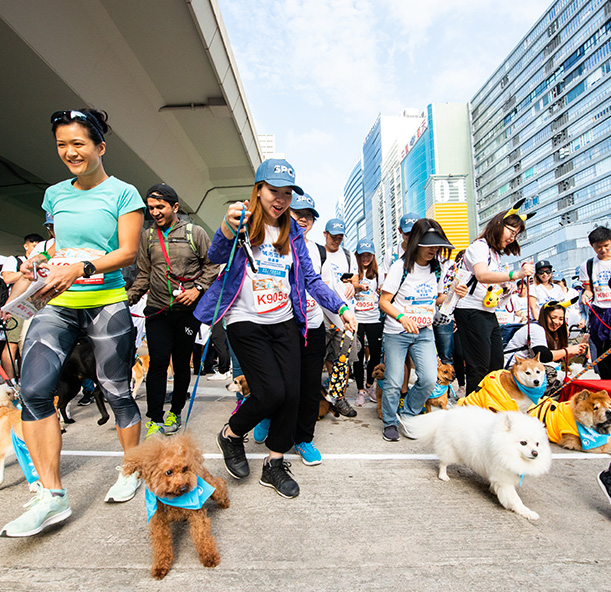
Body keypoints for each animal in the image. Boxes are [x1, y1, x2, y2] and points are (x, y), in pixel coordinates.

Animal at [123, 432, 231, 580]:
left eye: (184, 469)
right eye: (169, 472)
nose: (184, 488)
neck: (173, 498)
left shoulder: (197, 514)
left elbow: (201, 535)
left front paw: (209, 556)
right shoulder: (158, 521)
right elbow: (161, 542)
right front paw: (161, 565)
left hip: (209, 483)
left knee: (219, 484)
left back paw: (225, 501)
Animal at [400, 408, 552, 520]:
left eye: (537, 444)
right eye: (523, 442)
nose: (535, 453)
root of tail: (447, 413)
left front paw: (492, 490)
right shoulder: (504, 480)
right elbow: (515, 500)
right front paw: (528, 513)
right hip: (452, 451)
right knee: (443, 463)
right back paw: (443, 476)